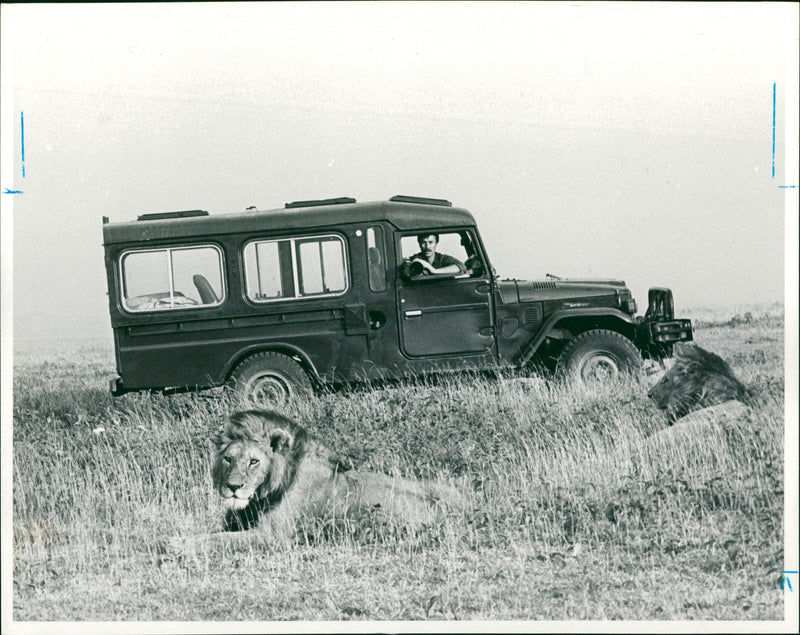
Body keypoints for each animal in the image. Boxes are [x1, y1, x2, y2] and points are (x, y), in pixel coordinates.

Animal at [166, 412, 460, 552]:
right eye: (228, 459)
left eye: (254, 461)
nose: (233, 487)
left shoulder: (273, 537)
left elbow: (220, 540)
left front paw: (178, 545)